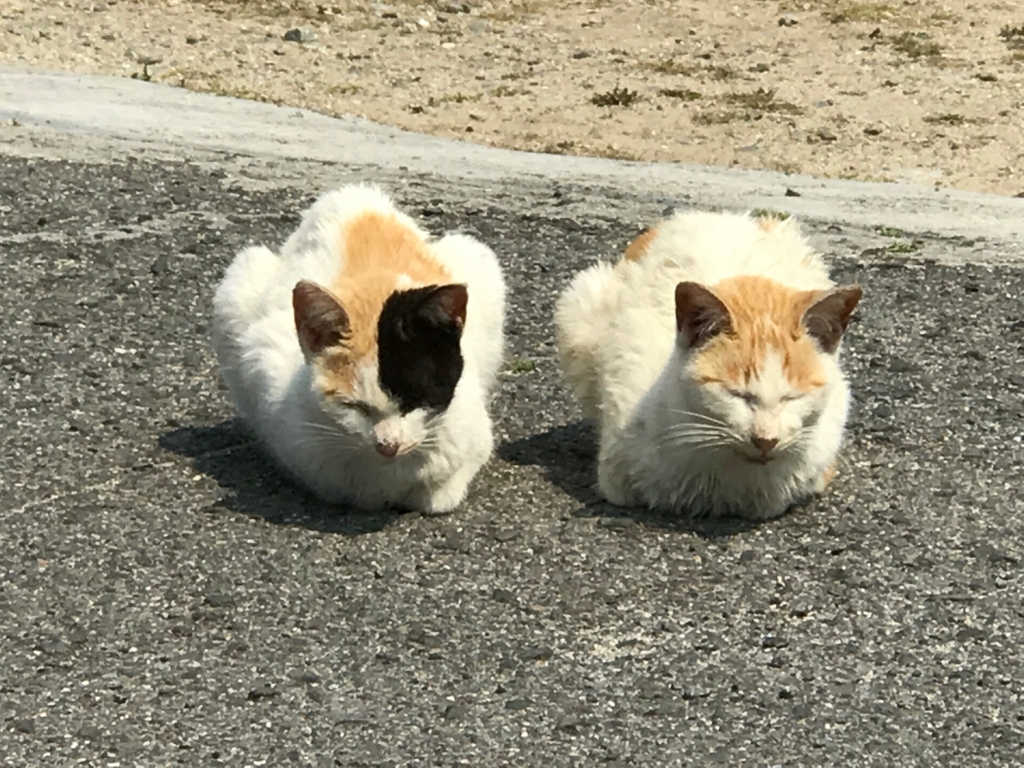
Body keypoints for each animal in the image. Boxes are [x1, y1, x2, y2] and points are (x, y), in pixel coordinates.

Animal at [209, 183, 505, 514]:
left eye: (414, 400)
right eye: (354, 406)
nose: (388, 445)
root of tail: (354, 194)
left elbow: (441, 496)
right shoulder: (266, 362)